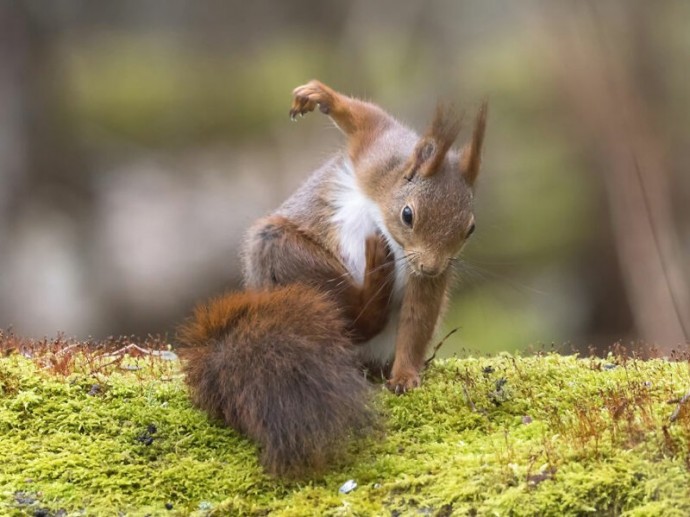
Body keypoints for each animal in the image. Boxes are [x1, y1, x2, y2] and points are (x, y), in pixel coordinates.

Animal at [180, 79, 486, 476]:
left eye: (470, 229)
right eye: (408, 215)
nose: (432, 267)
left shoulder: (426, 277)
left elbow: (418, 319)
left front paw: (405, 376)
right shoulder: (377, 152)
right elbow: (365, 118)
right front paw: (319, 96)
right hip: (282, 252)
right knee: (353, 316)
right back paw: (374, 278)